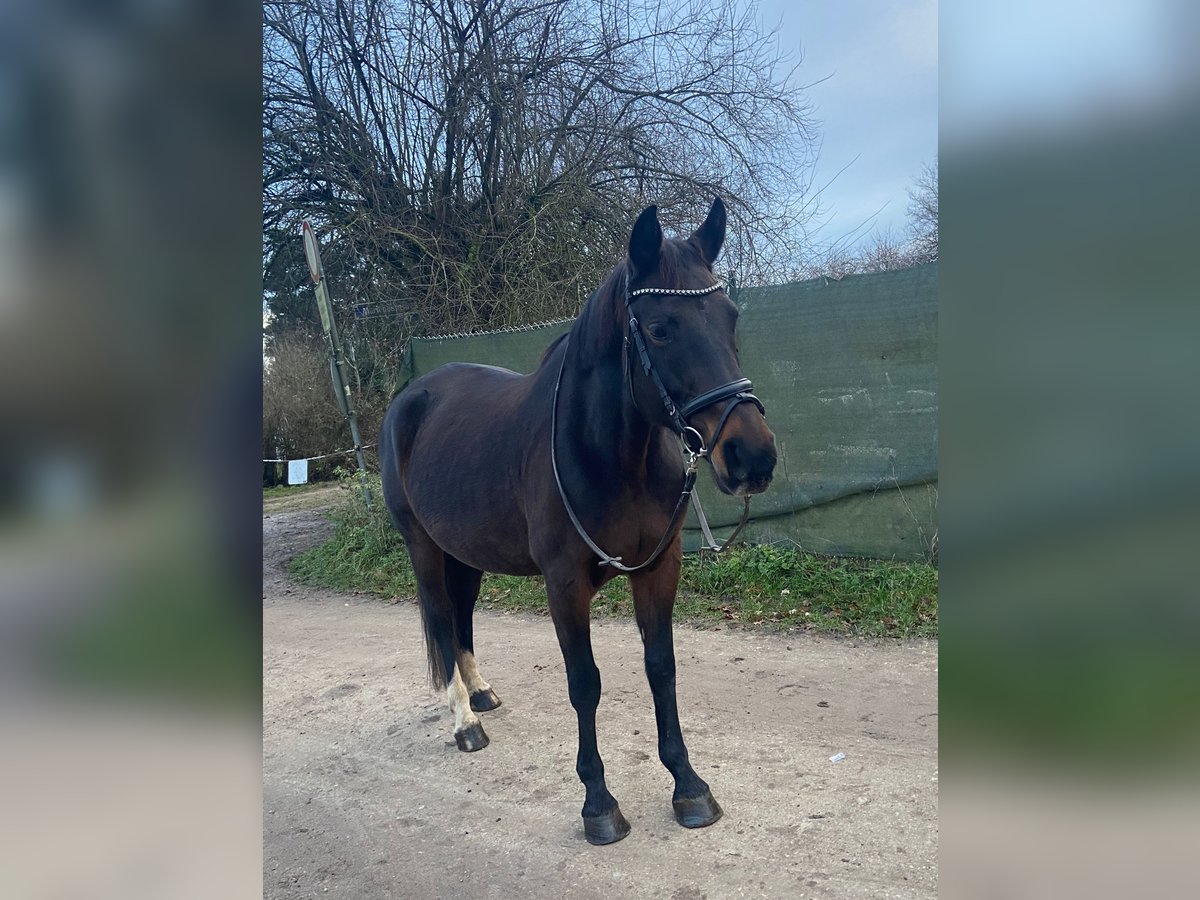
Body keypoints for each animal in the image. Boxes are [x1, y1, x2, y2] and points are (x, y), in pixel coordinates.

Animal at [381, 196, 777, 844]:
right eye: (661, 328)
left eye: (731, 317)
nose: (753, 456)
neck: (609, 456)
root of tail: (409, 398)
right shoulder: (563, 585)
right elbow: (585, 682)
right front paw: (598, 803)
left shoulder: (658, 570)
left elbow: (661, 669)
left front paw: (689, 786)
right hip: (423, 549)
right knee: (441, 620)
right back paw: (464, 722)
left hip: (465, 552)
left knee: (461, 618)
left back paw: (481, 693)